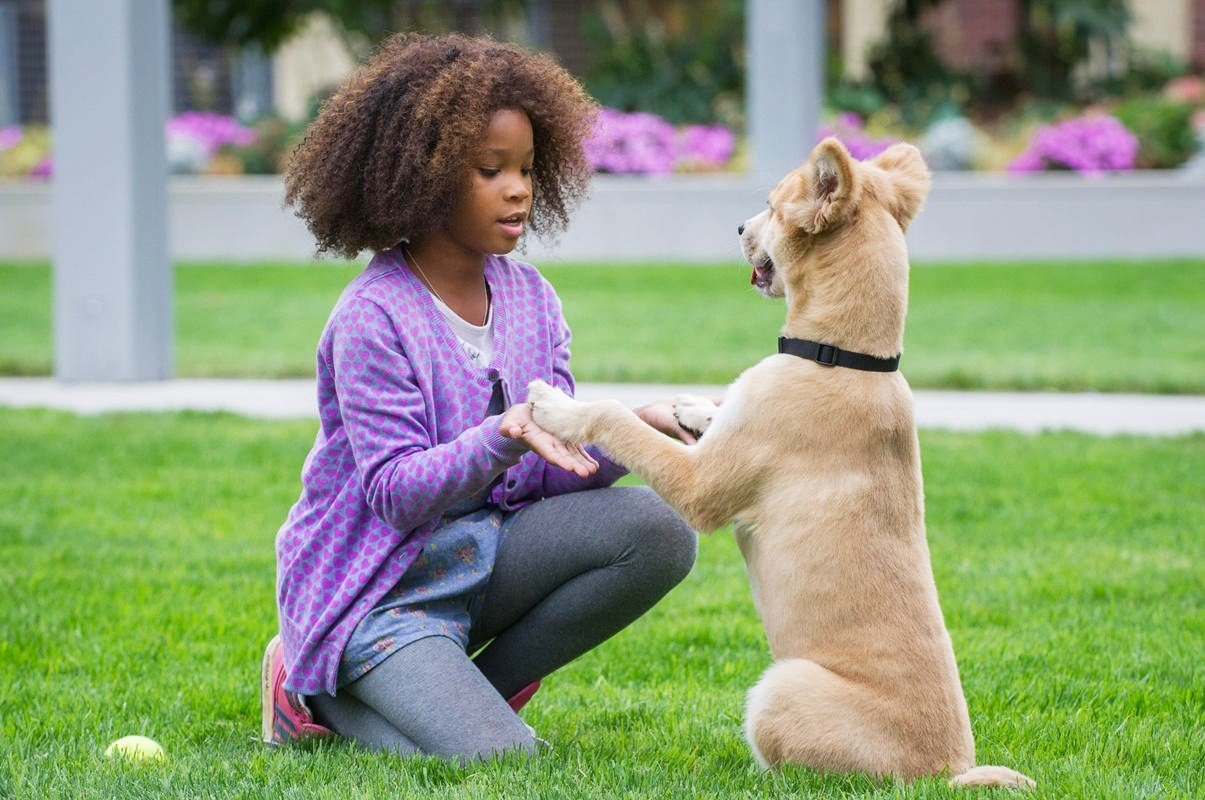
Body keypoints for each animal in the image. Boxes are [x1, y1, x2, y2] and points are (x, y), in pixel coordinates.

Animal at [527, 137, 1036, 785]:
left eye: (770, 206)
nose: (740, 226)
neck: (843, 357)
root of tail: (943, 773)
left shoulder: (701, 487)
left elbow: (617, 416)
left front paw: (560, 407)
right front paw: (694, 408)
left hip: (780, 687)